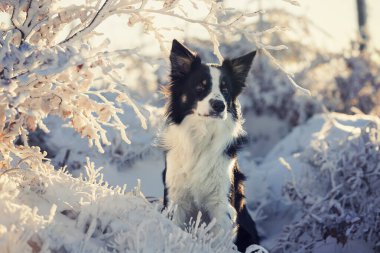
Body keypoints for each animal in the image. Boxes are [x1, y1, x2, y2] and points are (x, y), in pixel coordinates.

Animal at [160, 39, 262, 251]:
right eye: (200, 86)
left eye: (225, 90)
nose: (219, 105)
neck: (201, 136)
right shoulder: (176, 198)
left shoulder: (221, 202)